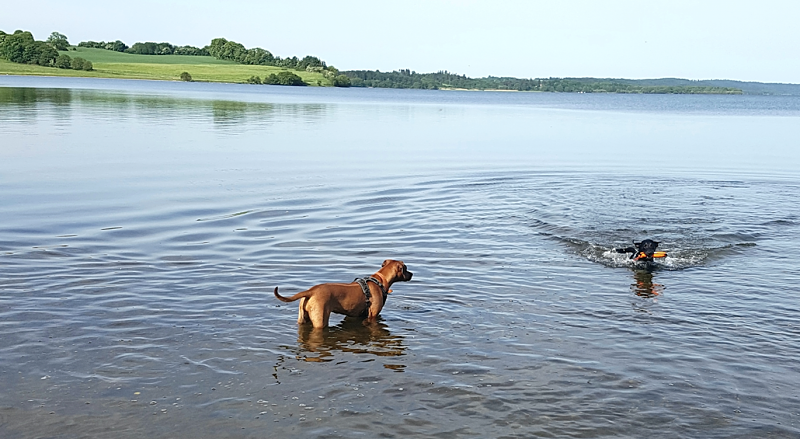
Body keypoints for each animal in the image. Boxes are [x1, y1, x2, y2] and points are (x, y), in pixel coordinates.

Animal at [276, 260, 412, 328]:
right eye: (405, 268)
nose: (412, 274)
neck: (380, 280)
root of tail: (311, 291)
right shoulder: (373, 315)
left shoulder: (356, 315)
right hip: (320, 320)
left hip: (303, 318)